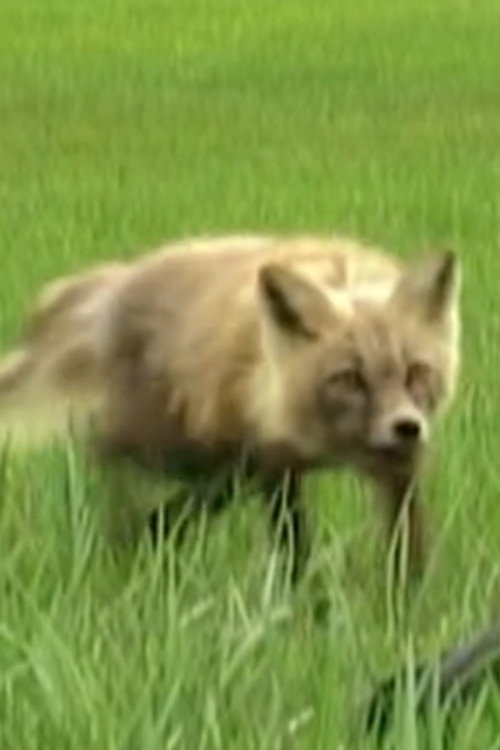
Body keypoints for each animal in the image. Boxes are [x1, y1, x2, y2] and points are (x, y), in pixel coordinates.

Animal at [0, 233, 461, 585]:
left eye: (417, 372)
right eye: (348, 378)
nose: (406, 427)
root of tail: (118, 280)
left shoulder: (397, 474)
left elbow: (407, 553)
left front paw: (403, 613)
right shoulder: (273, 465)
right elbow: (293, 549)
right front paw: (305, 610)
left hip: (213, 466)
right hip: (177, 450)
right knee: (114, 476)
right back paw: (126, 543)